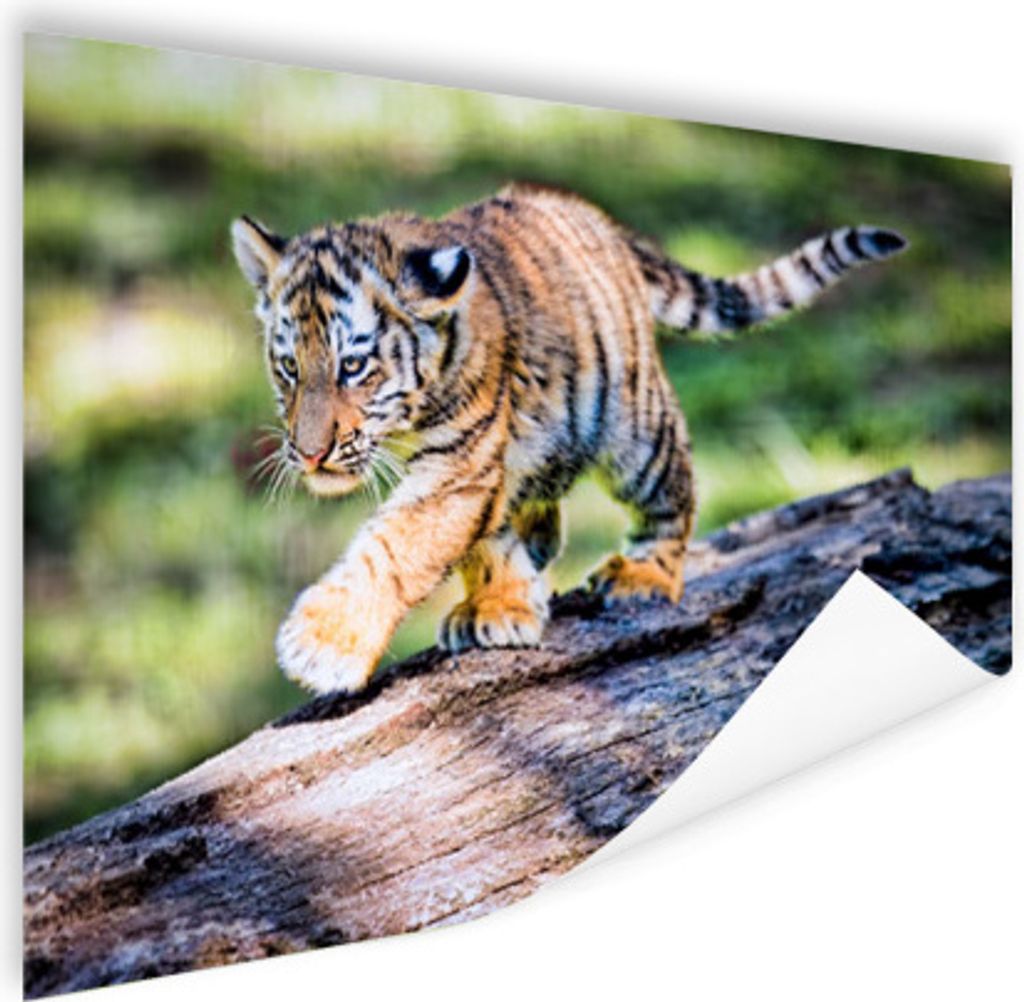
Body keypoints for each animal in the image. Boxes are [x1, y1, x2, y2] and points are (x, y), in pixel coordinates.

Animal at [231, 182, 906, 695]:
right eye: (288, 367)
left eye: (352, 367)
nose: (309, 453)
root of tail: (598, 218)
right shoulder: (484, 467)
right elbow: (482, 542)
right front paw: (498, 607)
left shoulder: (459, 464)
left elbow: (398, 545)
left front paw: (323, 644)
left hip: (637, 431)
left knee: (675, 496)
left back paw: (645, 576)